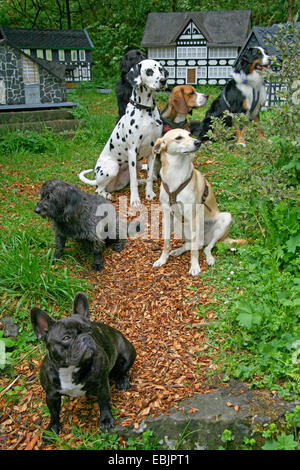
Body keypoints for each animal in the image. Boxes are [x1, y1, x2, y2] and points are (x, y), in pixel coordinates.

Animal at [30, 292, 136, 438]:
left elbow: (104, 402)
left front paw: (106, 420)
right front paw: (52, 428)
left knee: (121, 370)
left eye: (89, 329)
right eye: (66, 338)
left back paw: (122, 381)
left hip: (127, 353)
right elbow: (54, 413)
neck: (70, 369)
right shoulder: (51, 395)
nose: (85, 337)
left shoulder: (102, 385)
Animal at [152, 129, 246, 276]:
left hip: (225, 219)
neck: (175, 173)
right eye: (178, 138)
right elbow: (166, 242)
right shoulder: (168, 214)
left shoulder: (192, 216)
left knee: (206, 247)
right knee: (192, 244)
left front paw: (195, 266)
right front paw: (162, 259)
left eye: (190, 135)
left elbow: (194, 251)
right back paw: (178, 250)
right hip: (178, 223)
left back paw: (209, 258)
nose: (198, 142)